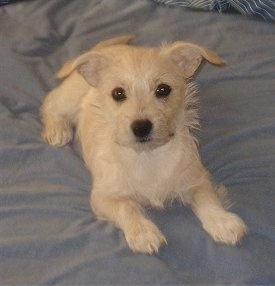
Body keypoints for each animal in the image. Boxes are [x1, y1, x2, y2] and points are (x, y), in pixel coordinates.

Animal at [40, 34, 248, 254]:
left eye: (163, 90)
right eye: (118, 93)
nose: (141, 127)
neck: (147, 156)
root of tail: (109, 47)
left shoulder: (198, 178)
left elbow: (208, 199)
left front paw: (222, 222)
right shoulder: (103, 197)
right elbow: (127, 207)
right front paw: (143, 232)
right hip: (69, 99)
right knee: (51, 103)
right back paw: (57, 129)